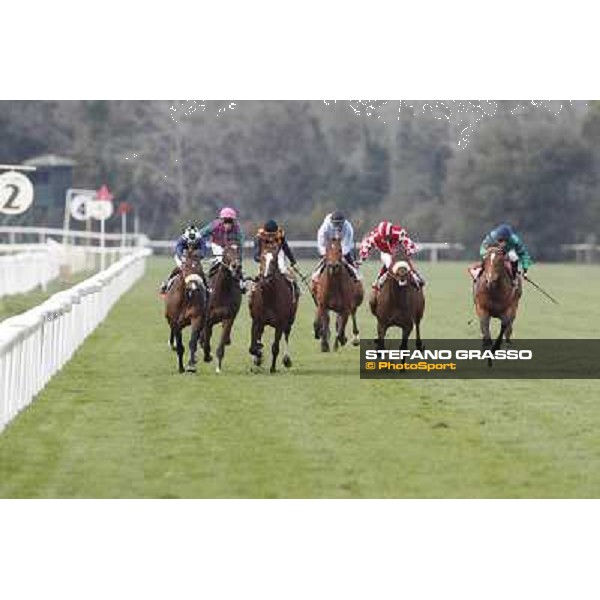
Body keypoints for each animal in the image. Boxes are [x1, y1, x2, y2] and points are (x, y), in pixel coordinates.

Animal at [203, 241, 243, 372]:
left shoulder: (228, 317)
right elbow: (206, 340)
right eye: (226, 252)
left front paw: (218, 366)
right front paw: (207, 356)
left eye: (238, 251)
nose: (236, 266)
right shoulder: (207, 319)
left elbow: (222, 339)